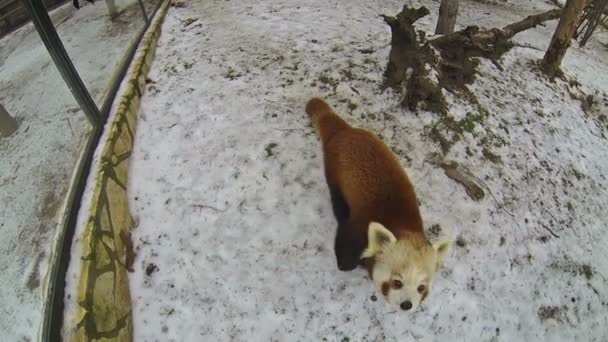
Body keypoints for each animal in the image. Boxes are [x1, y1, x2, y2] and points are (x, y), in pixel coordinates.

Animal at [306, 97, 448, 312]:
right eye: (397, 282)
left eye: (421, 288)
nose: (407, 305)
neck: (402, 223)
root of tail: (346, 131)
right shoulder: (357, 227)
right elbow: (345, 252)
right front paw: (349, 264)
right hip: (334, 174)